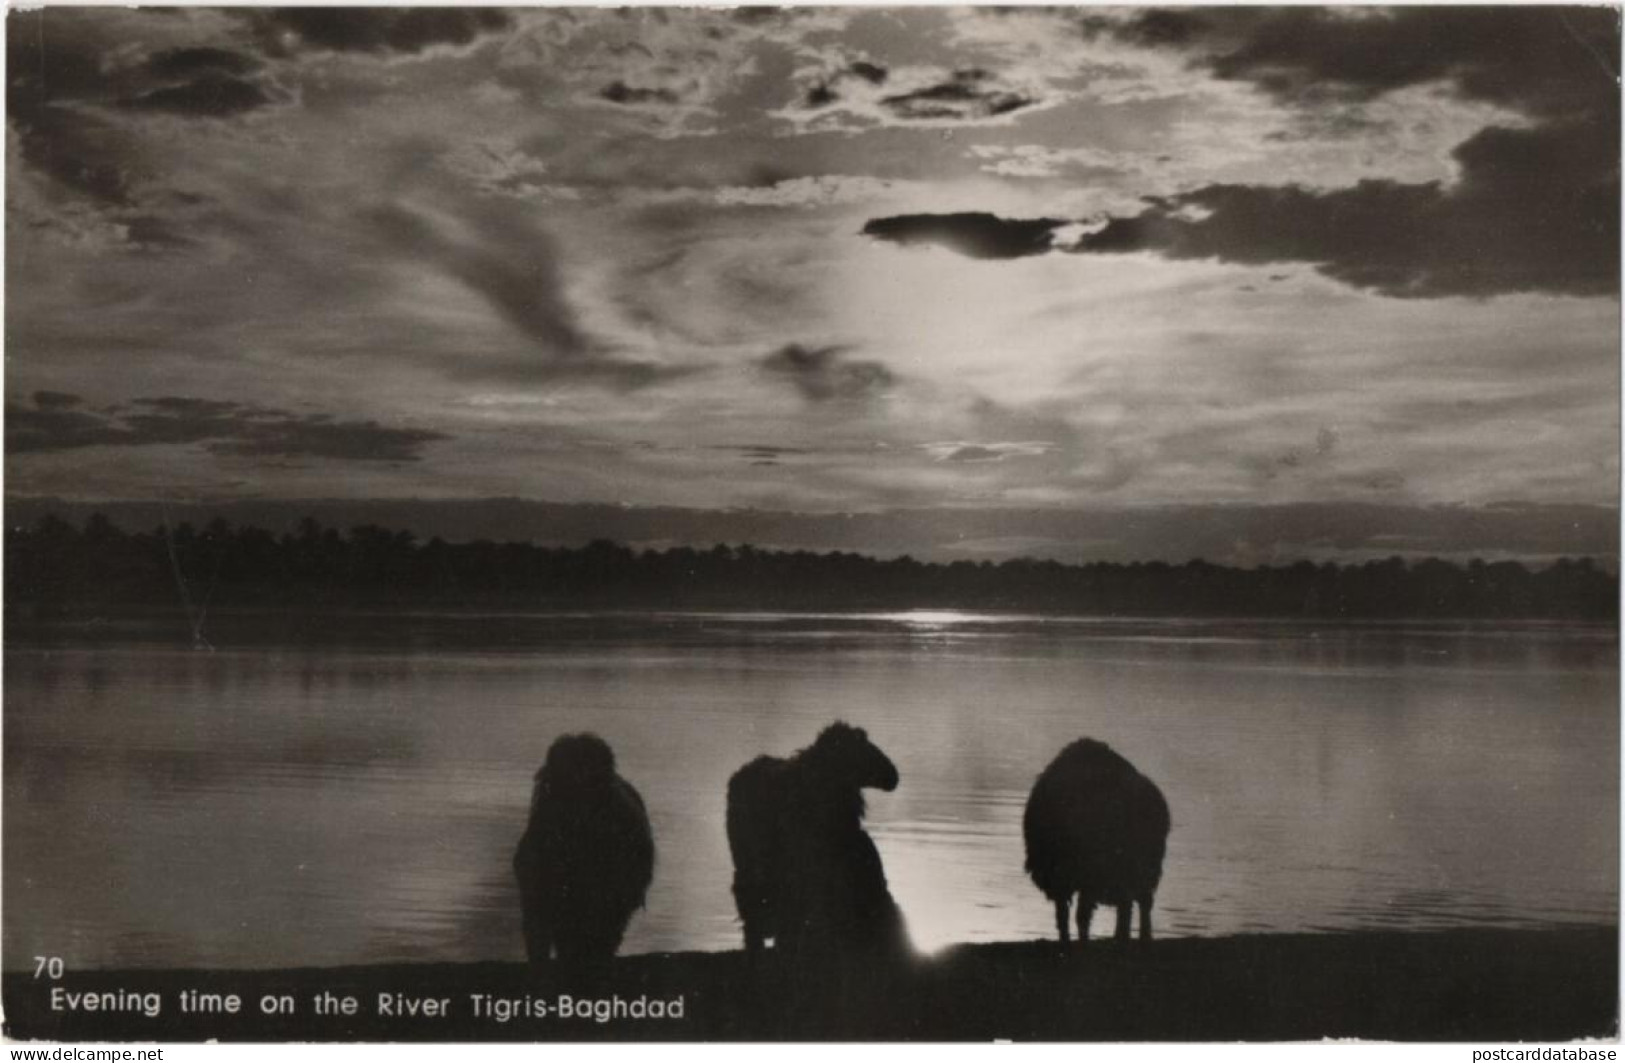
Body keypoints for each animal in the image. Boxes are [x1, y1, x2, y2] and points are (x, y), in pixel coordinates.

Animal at [1020, 741, 1176, 949]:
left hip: (1142, 870)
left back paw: (1138, 936)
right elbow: (1065, 915)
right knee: (1132, 903)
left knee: (1140, 902)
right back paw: (1124, 936)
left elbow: (1081, 914)